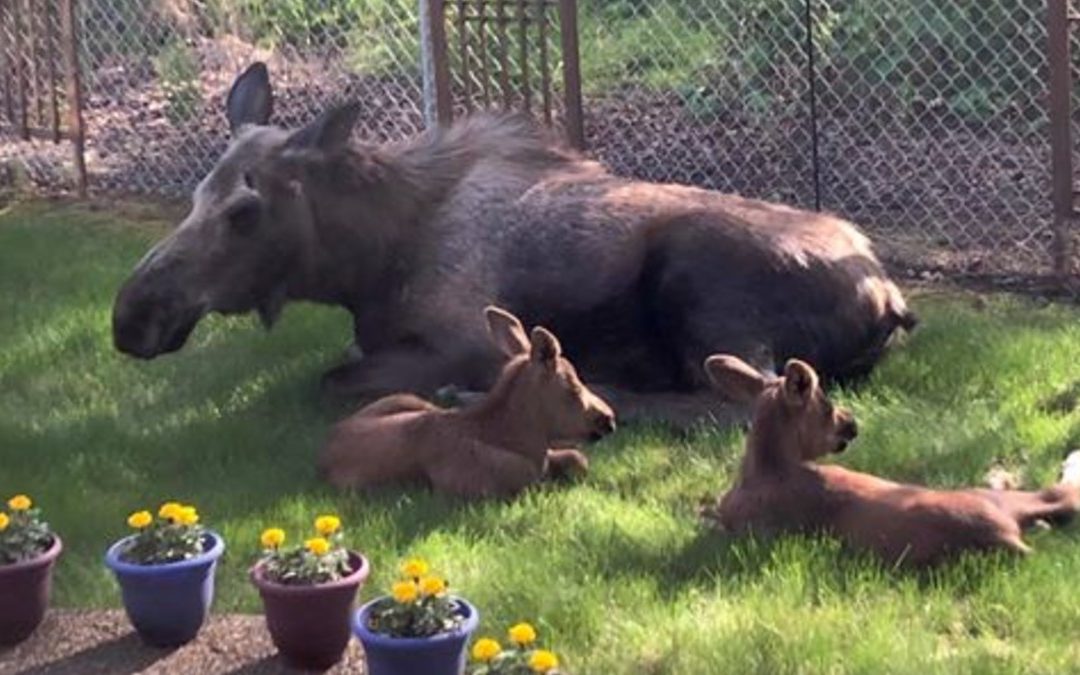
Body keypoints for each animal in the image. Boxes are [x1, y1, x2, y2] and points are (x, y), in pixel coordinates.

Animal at [113, 61, 915, 421]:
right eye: (195, 196)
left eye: (244, 212)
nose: (131, 316)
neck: (364, 264)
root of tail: (890, 297)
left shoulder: (461, 335)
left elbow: (332, 380)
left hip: (699, 279)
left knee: (736, 401)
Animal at [317, 308, 617, 496]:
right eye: (573, 387)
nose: (609, 419)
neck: (525, 442)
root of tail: (329, 440)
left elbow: (578, 459)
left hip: (409, 400)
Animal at [699, 356, 1080, 565]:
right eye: (827, 405)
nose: (852, 424)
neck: (767, 467)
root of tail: (1007, 538)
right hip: (994, 500)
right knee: (1058, 497)